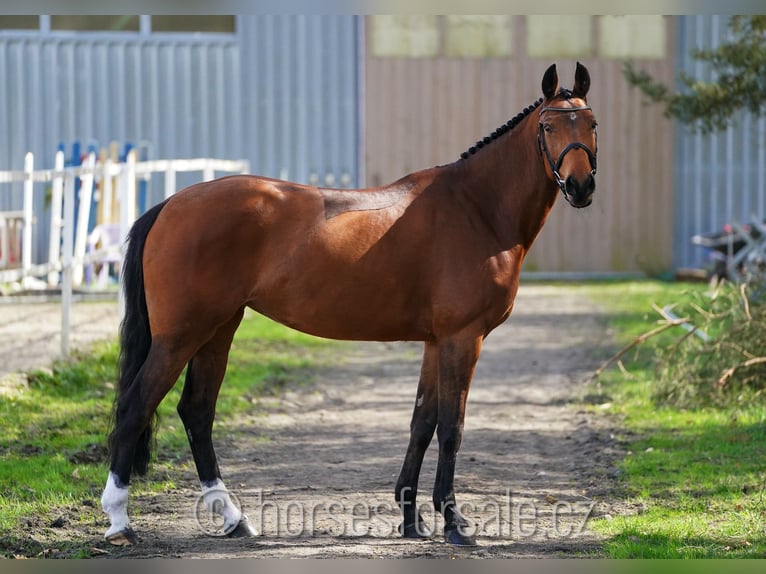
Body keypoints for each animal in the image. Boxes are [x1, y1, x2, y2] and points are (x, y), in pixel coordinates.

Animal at [100, 63, 600, 548]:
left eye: (592, 123)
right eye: (548, 125)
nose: (580, 186)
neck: (476, 208)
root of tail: (169, 205)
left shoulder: (436, 342)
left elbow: (422, 422)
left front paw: (411, 518)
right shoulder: (463, 338)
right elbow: (451, 427)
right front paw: (454, 522)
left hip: (218, 330)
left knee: (197, 412)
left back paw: (234, 519)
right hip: (181, 336)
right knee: (135, 407)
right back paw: (120, 522)